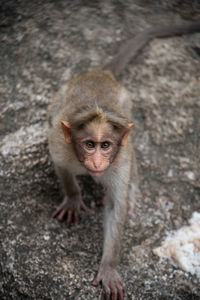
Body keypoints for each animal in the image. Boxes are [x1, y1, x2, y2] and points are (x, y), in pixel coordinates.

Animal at [48, 21, 200, 300]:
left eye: (106, 145)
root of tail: (101, 74)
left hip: (127, 108)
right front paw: (73, 197)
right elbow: (62, 168)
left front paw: (108, 267)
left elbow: (115, 207)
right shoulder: (61, 147)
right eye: (89, 145)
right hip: (59, 95)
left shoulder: (120, 161)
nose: (98, 163)